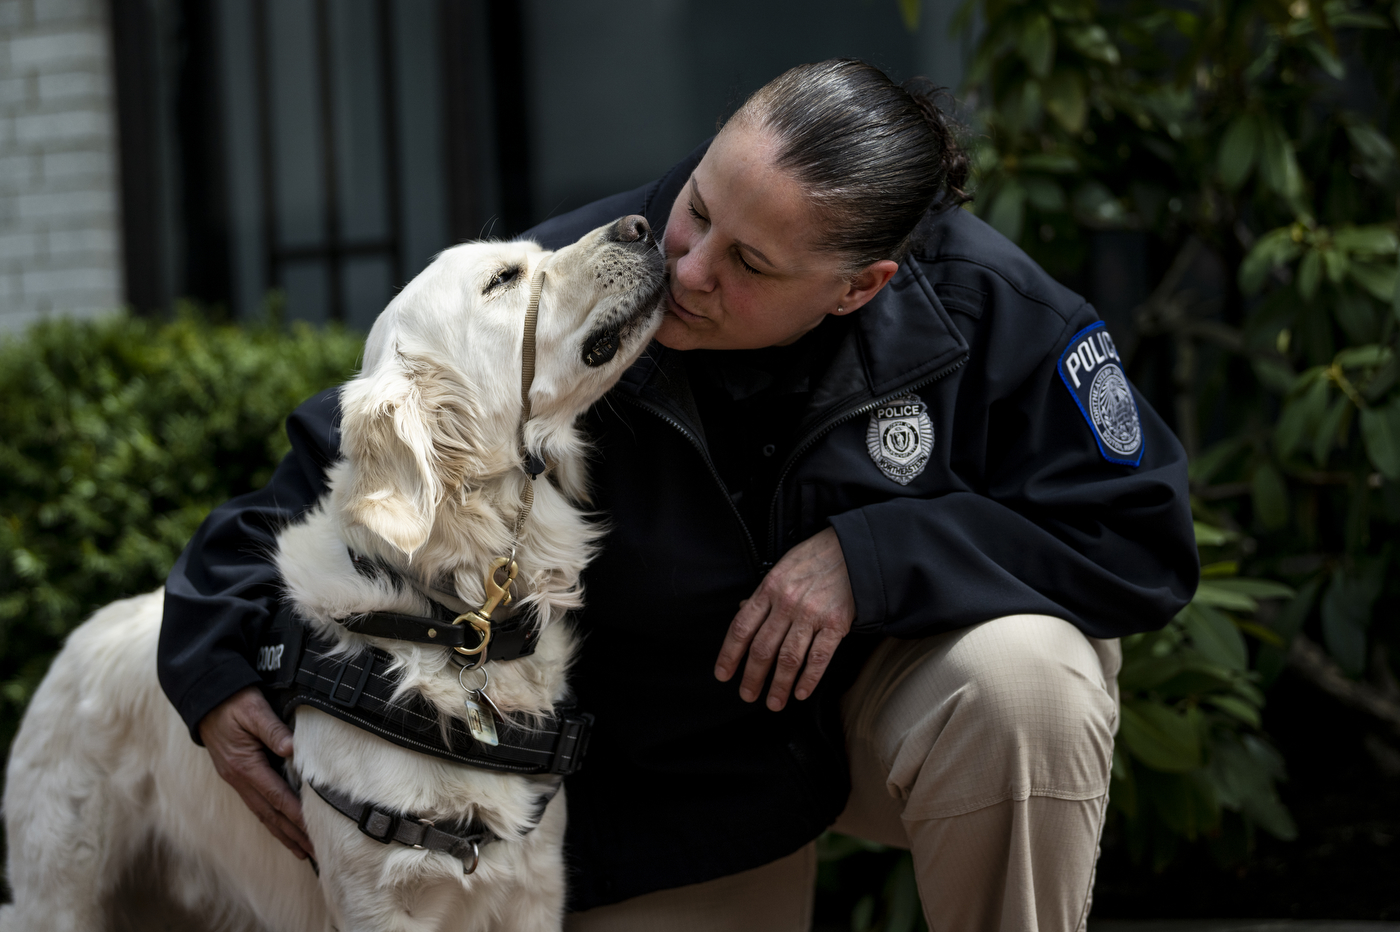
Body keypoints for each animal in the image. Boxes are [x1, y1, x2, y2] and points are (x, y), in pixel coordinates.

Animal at [1, 214, 666, 923]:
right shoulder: (375, 900)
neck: (444, 616)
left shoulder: (534, 884)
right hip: (60, 894)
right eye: (504, 280)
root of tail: (78, 637)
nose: (641, 225)